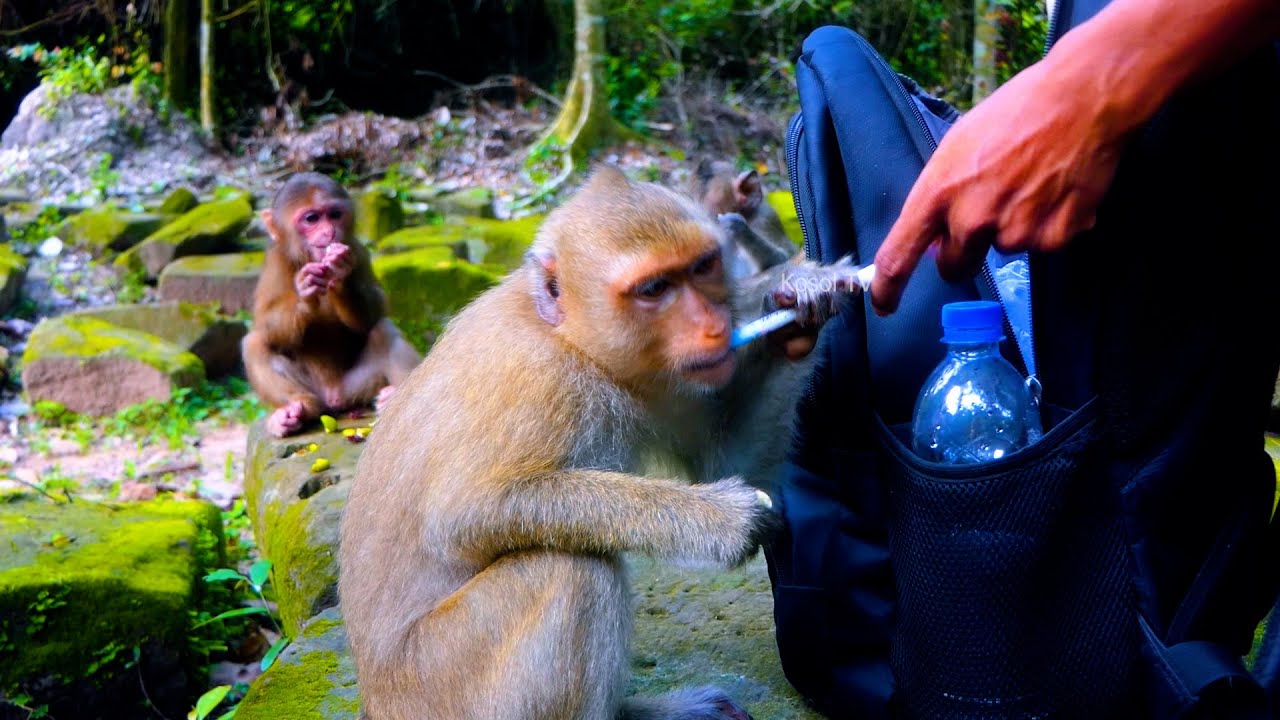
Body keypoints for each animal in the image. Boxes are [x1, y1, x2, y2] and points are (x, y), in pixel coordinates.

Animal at [241, 172, 422, 438]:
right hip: (316, 392)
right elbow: (267, 324)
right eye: (311, 219)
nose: (329, 232)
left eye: (335, 214)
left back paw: (394, 397)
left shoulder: (358, 250)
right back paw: (294, 411)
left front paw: (342, 276)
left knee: (383, 330)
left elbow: (373, 312)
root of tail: (333, 397)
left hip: (356, 388)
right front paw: (305, 294)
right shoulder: (275, 261)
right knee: (255, 343)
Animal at [337, 165, 864, 720]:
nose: (715, 327)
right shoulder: (539, 383)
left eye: (703, 266)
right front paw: (722, 520)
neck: (571, 342)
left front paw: (798, 301)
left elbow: (727, 464)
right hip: (446, 686)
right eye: (654, 288)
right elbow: (466, 512)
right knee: (571, 568)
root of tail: (378, 700)